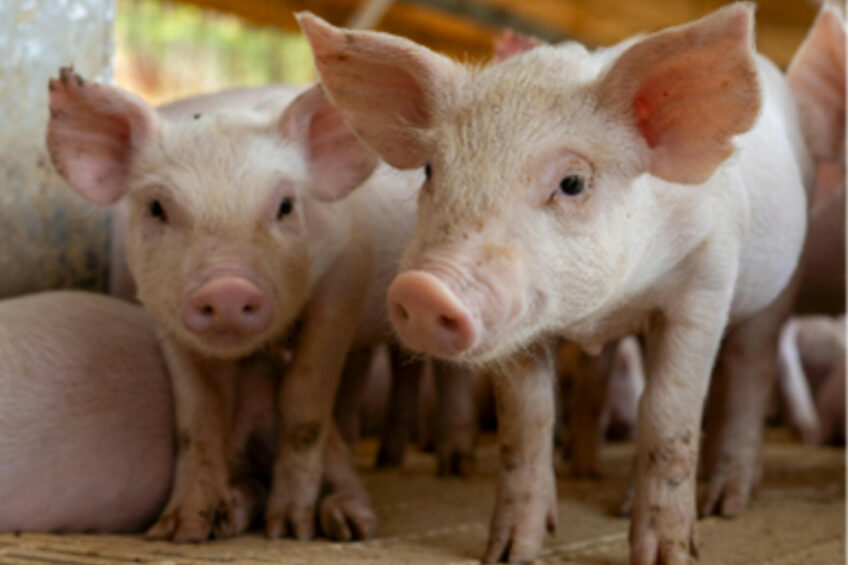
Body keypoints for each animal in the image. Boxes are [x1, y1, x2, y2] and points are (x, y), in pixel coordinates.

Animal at [46, 69, 423, 541]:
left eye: (286, 205)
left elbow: (304, 396)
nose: (226, 289)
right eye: (156, 208)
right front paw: (179, 530)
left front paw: (289, 529)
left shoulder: (345, 277)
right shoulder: (163, 315)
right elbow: (198, 414)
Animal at [299, 4, 812, 564]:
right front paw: (509, 553)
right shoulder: (521, 328)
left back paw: (726, 501)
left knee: (748, 372)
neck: (601, 311)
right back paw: (586, 473)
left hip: (779, 287)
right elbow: (527, 423)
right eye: (431, 170)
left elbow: (668, 414)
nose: (423, 289)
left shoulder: (706, 279)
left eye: (572, 182)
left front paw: (668, 556)